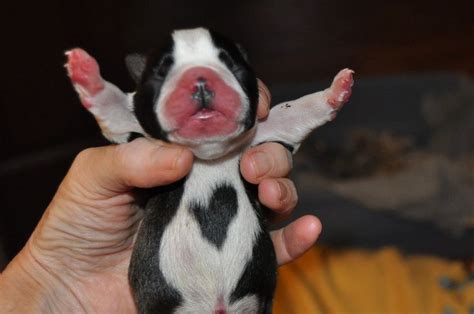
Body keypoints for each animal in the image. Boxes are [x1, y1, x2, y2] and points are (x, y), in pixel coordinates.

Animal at [64, 27, 352, 314]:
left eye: (230, 63)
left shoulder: (269, 130)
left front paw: (337, 90)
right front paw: (88, 76)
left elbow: (297, 111)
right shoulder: (130, 131)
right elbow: (114, 106)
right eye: (162, 71)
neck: (208, 156)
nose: (200, 77)